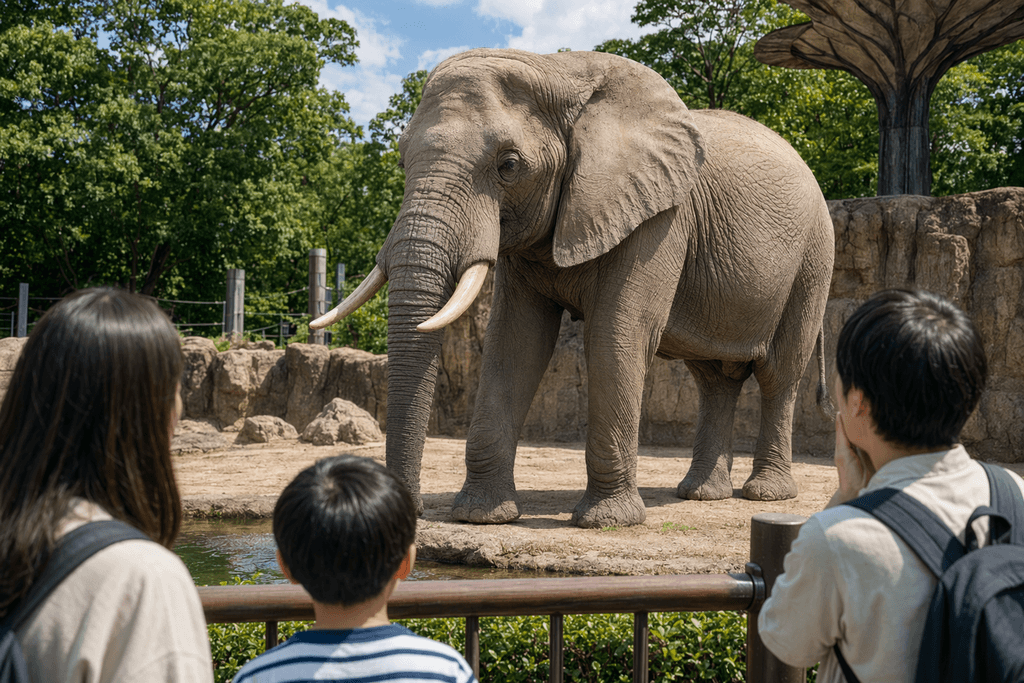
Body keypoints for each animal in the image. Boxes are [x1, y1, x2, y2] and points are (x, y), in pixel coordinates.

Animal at [312, 48, 835, 528]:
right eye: (402, 159)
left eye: (508, 165)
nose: (411, 512)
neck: (557, 68)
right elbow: (516, 342)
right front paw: (482, 517)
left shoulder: (660, 217)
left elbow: (616, 335)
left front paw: (607, 522)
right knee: (714, 379)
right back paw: (700, 494)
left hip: (814, 258)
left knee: (780, 373)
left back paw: (766, 495)